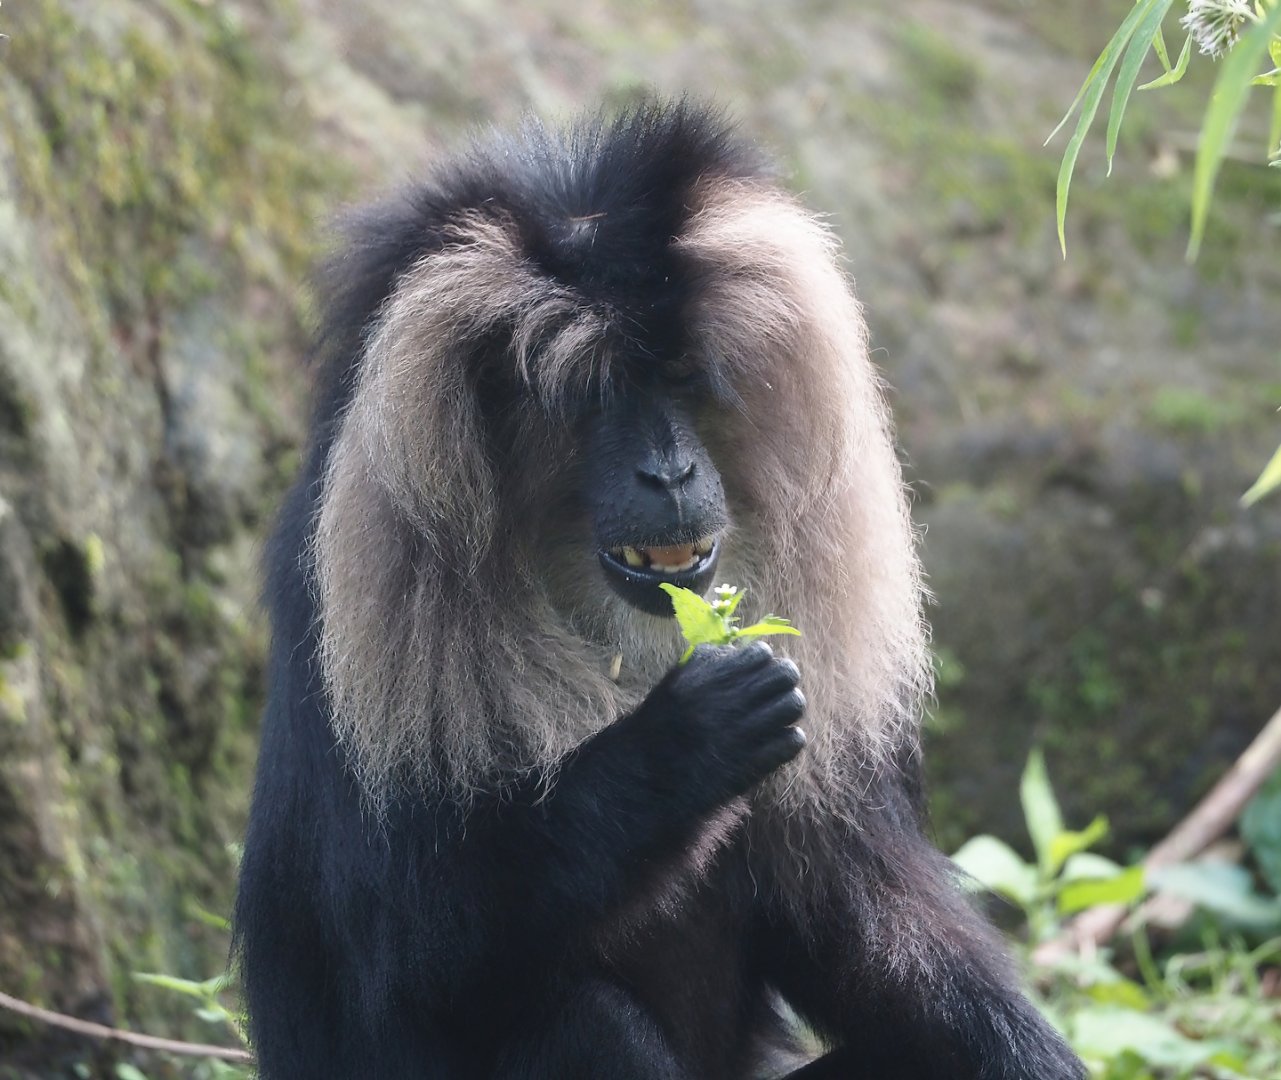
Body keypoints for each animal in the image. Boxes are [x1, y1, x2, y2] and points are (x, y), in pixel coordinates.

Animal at [233, 101, 1086, 1080]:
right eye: (591, 396)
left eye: (678, 377)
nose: (669, 471)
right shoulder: (351, 615)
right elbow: (407, 961)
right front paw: (683, 744)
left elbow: (847, 902)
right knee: (575, 1019)